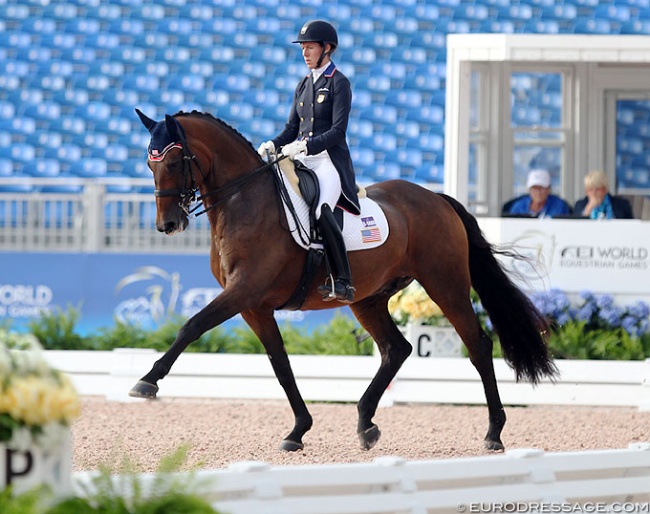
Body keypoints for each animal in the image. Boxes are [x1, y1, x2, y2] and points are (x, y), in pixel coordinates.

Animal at [132, 108, 556, 448]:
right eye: (150, 165)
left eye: (174, 162)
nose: (167, 225)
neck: (244, 201)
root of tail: (437, 198)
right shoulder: (254, 306)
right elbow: (280, 364)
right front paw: (298, 430)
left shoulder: (244, 292)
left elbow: (192, 325)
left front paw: (147, 381)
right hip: (367, 299)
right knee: (396, 349)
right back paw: (366, 424)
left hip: (445, 283)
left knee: (478, 346)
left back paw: (494, 433)